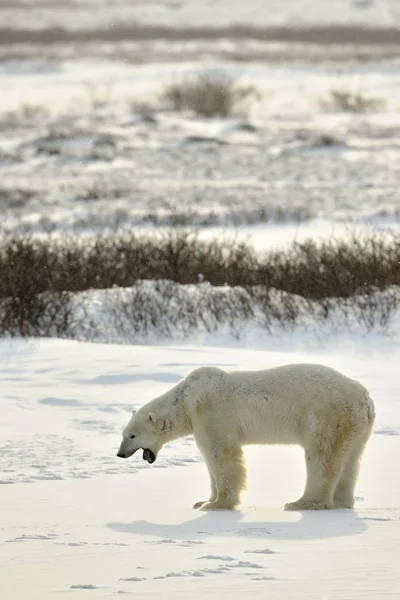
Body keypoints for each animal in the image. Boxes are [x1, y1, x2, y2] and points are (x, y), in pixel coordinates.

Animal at [116, 360, 376, 510]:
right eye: (123, 433)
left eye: (132, 436)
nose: (120, 454)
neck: (187, 401)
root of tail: (365, 399)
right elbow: (210, 461)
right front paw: (203, 501)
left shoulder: (212, 414)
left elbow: (222, 454)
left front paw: (217, 504)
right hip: (355, 426)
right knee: (350, 459)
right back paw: (341, 502)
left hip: (326, 417)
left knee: (322, 456)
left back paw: (302, 502)